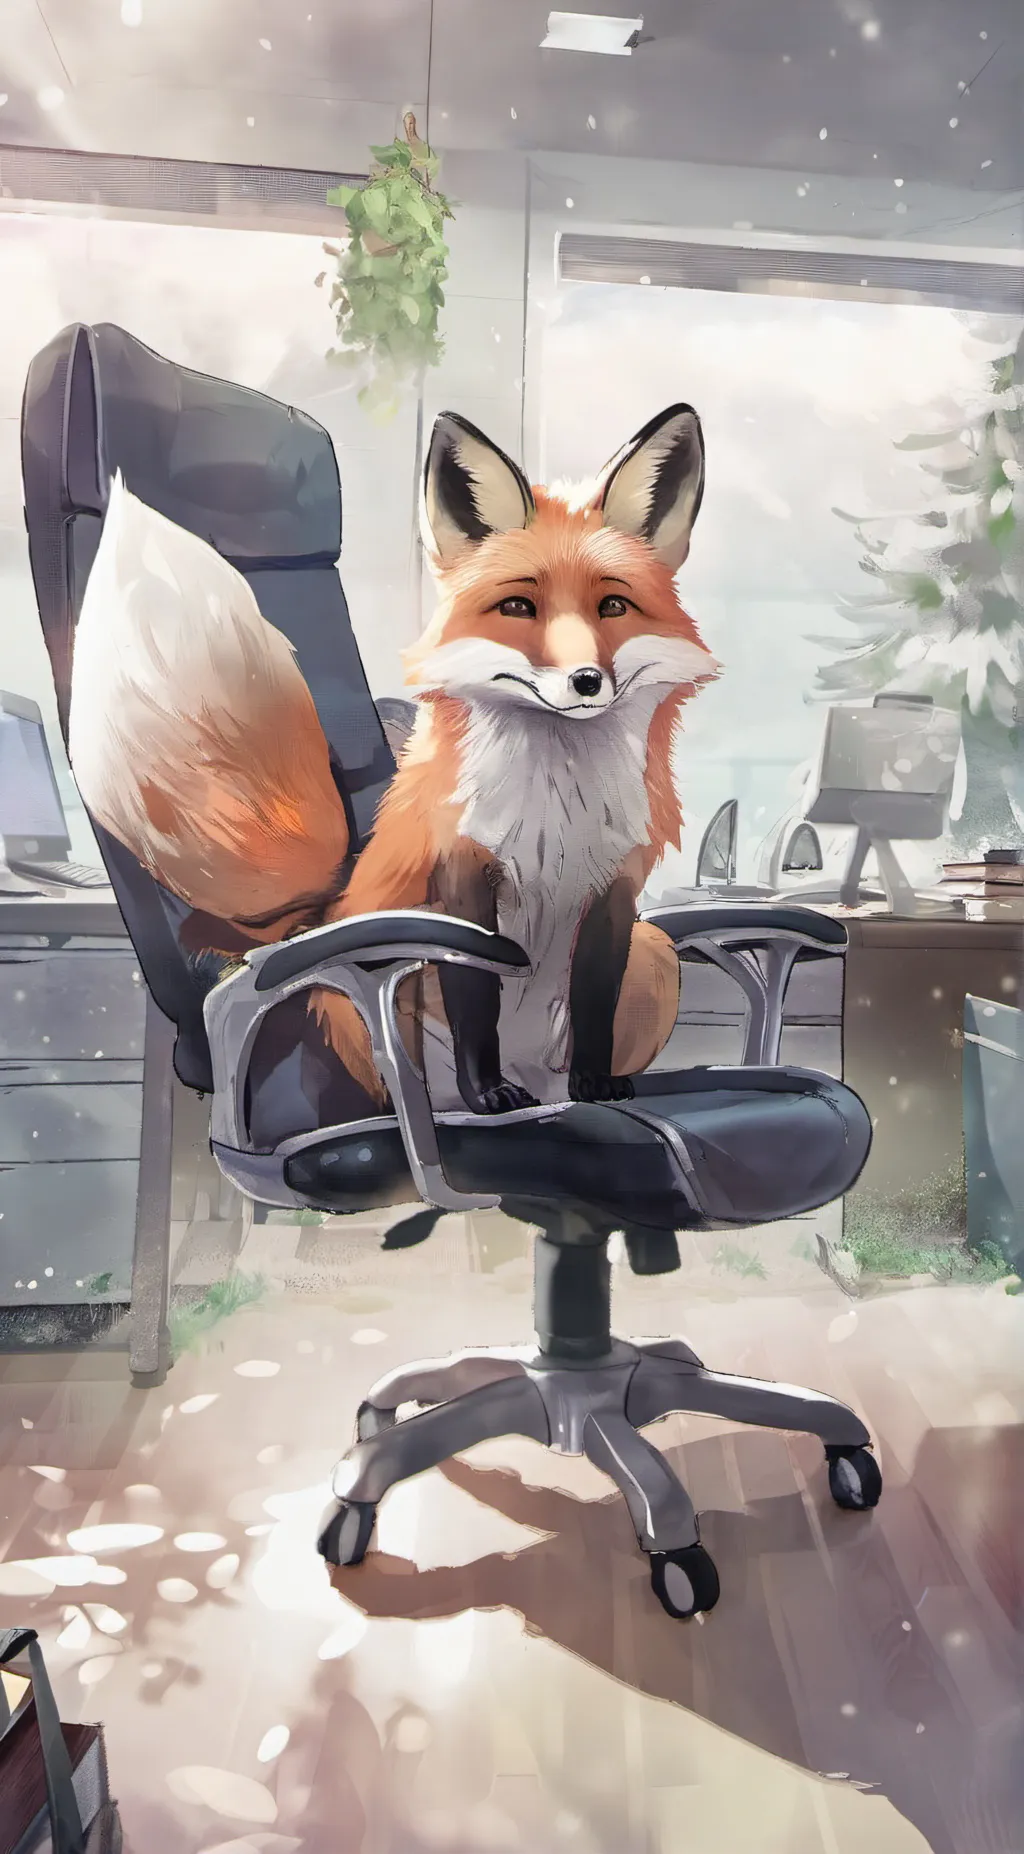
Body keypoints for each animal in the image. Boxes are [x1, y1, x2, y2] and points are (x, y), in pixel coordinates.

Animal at [68, 404, 718, 1117]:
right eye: (520, 606)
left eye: (613, 606)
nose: (585, 681)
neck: (558, 802)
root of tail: (318, 917)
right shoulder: (462, 878)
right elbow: (474, 1002)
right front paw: (487, 1092)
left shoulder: (614, 892)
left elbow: (594, 1002)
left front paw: (595, 1086)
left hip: (656, 954)